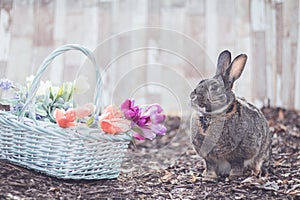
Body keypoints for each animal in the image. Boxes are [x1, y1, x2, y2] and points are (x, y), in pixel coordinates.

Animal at [191, 49, 270, 180]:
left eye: (214, 88)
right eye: (199, 83)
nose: (193, 95)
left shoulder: (239, 154)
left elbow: (237, 164)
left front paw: (234, 176)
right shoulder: (208, 156)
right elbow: (210, 165)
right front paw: (209, 176)